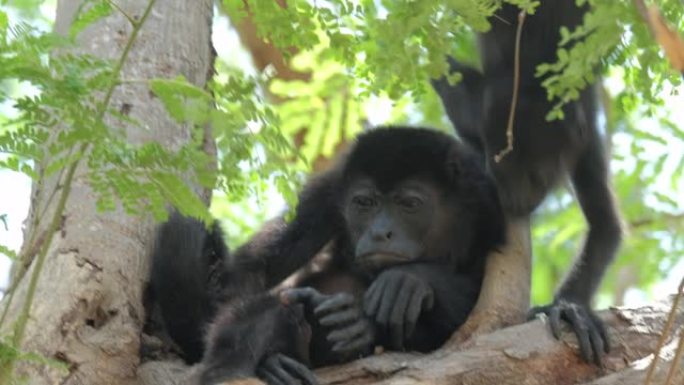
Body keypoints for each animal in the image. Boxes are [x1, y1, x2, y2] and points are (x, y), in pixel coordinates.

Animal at [150, 127, 504, 384]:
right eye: (364, 203)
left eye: (409, 204)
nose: (380, 233)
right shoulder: (329, 190)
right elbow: (248, 274)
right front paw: (269, 360)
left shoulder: (485, 200)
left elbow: (478, 307)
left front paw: (408, 282)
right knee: (271, 305)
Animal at [436, 0, 624, 364]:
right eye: (498, 174)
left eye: (538, 176)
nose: (515, 202)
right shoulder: (477, 110)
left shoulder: (585, 143)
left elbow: (606, 225)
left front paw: (569, 309)